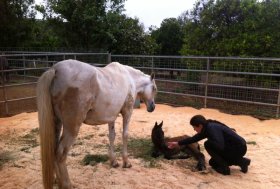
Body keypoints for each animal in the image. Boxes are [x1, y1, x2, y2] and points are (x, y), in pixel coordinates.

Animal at [35, 59, 156, 189]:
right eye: (154, 88)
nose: (152, 107)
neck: (129, 78)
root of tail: (55, 69)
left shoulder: (111, 117)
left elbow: (112, 136)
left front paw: (114, 161)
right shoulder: (127, 112)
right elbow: (125, 135)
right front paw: (126, 162)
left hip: (57, 123)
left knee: (54, 150)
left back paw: (57, 181)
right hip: (71, 128)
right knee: (60, 154)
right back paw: (67, 184)